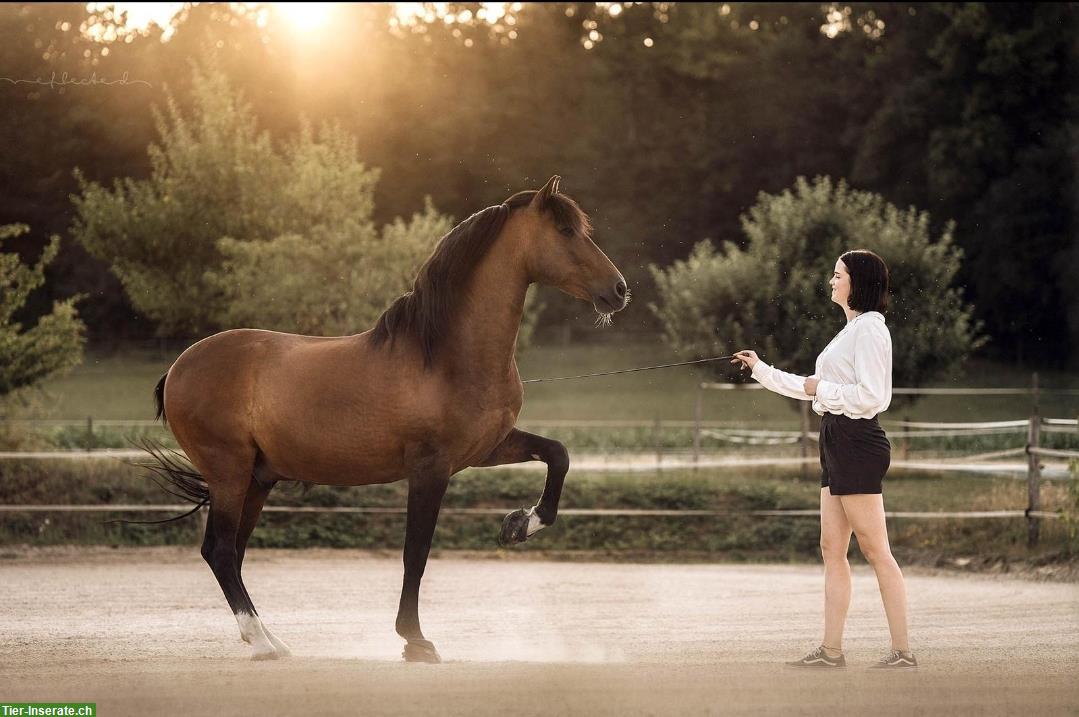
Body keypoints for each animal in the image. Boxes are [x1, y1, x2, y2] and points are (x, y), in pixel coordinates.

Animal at [147, 175, 630, 664]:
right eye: (566, 231)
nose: (619, 289)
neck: (444, 354)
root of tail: (179, 367)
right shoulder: (430, 467)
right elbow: (415, 551)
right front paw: (415, 639)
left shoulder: (487, 448)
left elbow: (558, 454)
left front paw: (519, 525)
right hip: (230, 472)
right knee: (220, 550)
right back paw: (262, 642)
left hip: (257, 478)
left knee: (234, 552)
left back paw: (271, 639)